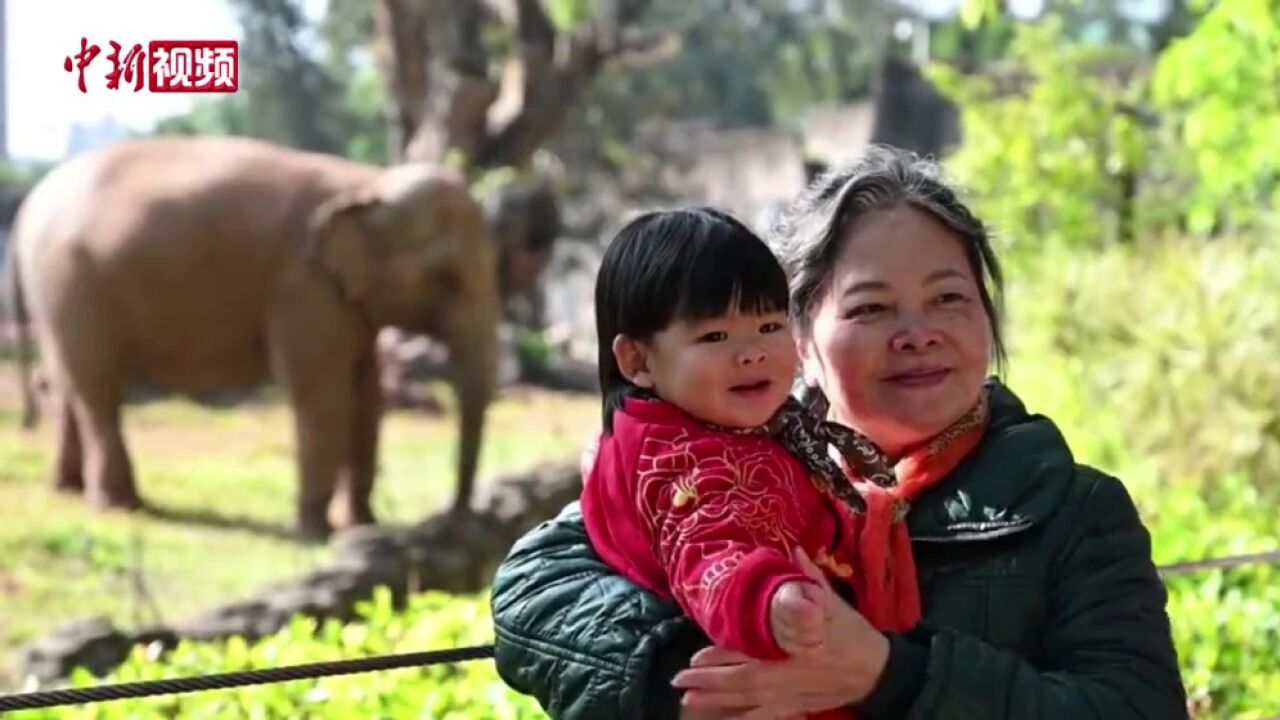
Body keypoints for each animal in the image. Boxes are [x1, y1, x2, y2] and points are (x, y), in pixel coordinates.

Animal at [3, 134, 555, 538]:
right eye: (446, 278)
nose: (453, 517)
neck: (367, 184)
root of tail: (27, 208)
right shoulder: (302, 286)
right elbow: (323, 394)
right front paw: (317, 535)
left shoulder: (342, 297)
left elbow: (366, 394)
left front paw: (364, 529)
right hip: (73, 283)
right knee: (97, 387)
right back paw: (122, 507)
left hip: (57, 295)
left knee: (69, 381)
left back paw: (68, 490)